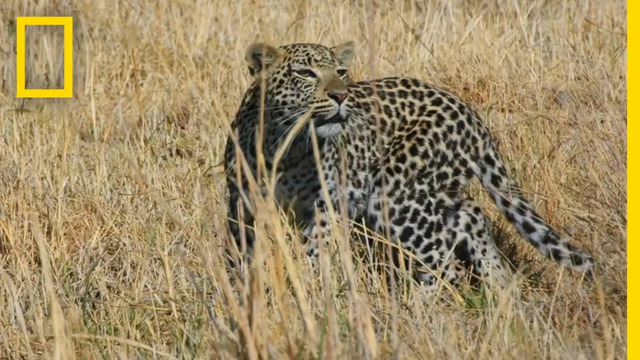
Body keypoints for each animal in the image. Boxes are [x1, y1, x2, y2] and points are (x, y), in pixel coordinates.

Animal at [225, 40, 596, 292]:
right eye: (305, 73)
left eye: (341, 72)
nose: (341, 96)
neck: (280, 144)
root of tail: (470, 115)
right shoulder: (243, 203)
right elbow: (242, 252)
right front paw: (245, 290)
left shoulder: (325, 204)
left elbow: (315, 251)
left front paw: (313, 290)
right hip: (432, 194)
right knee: (470, 214)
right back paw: (498, 286)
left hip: (396, 197)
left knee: (444, 263)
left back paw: (421, 308)